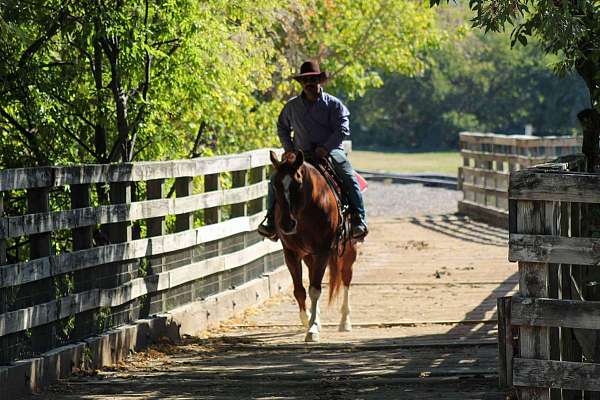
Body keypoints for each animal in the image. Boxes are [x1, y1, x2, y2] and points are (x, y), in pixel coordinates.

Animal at [268, 148, 356, 342]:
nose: (286, 224)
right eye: (275, 185)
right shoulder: (291, 253)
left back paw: (345, 321)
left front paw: (313, 329)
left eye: (298, 183)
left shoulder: (323, 251)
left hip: (348, 249)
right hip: (309, 256)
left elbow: (315, 289)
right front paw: (307, 319)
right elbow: (299, 290)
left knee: (346, 277)